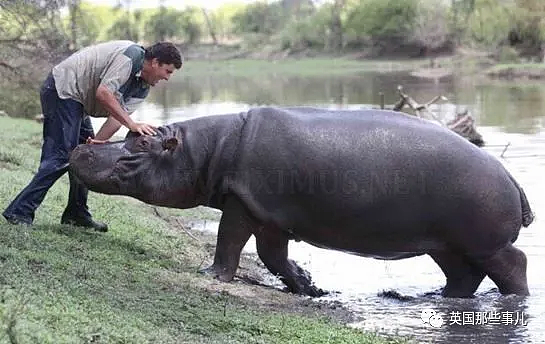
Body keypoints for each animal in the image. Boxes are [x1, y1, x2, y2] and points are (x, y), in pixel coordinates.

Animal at [68, 107, 532, 298]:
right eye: (132, 133)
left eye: (139, 145)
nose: (82, 147)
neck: (206, 150)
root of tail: (511, 177)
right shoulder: (267, 215)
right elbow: (273, 257)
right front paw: (309, 286)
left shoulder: (241, 204)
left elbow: (229, 242)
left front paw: (210, 275)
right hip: (446, 244)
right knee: (464, 276)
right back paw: (440, 296)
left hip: (484, 242)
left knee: (514, 265)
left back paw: (515, 299)